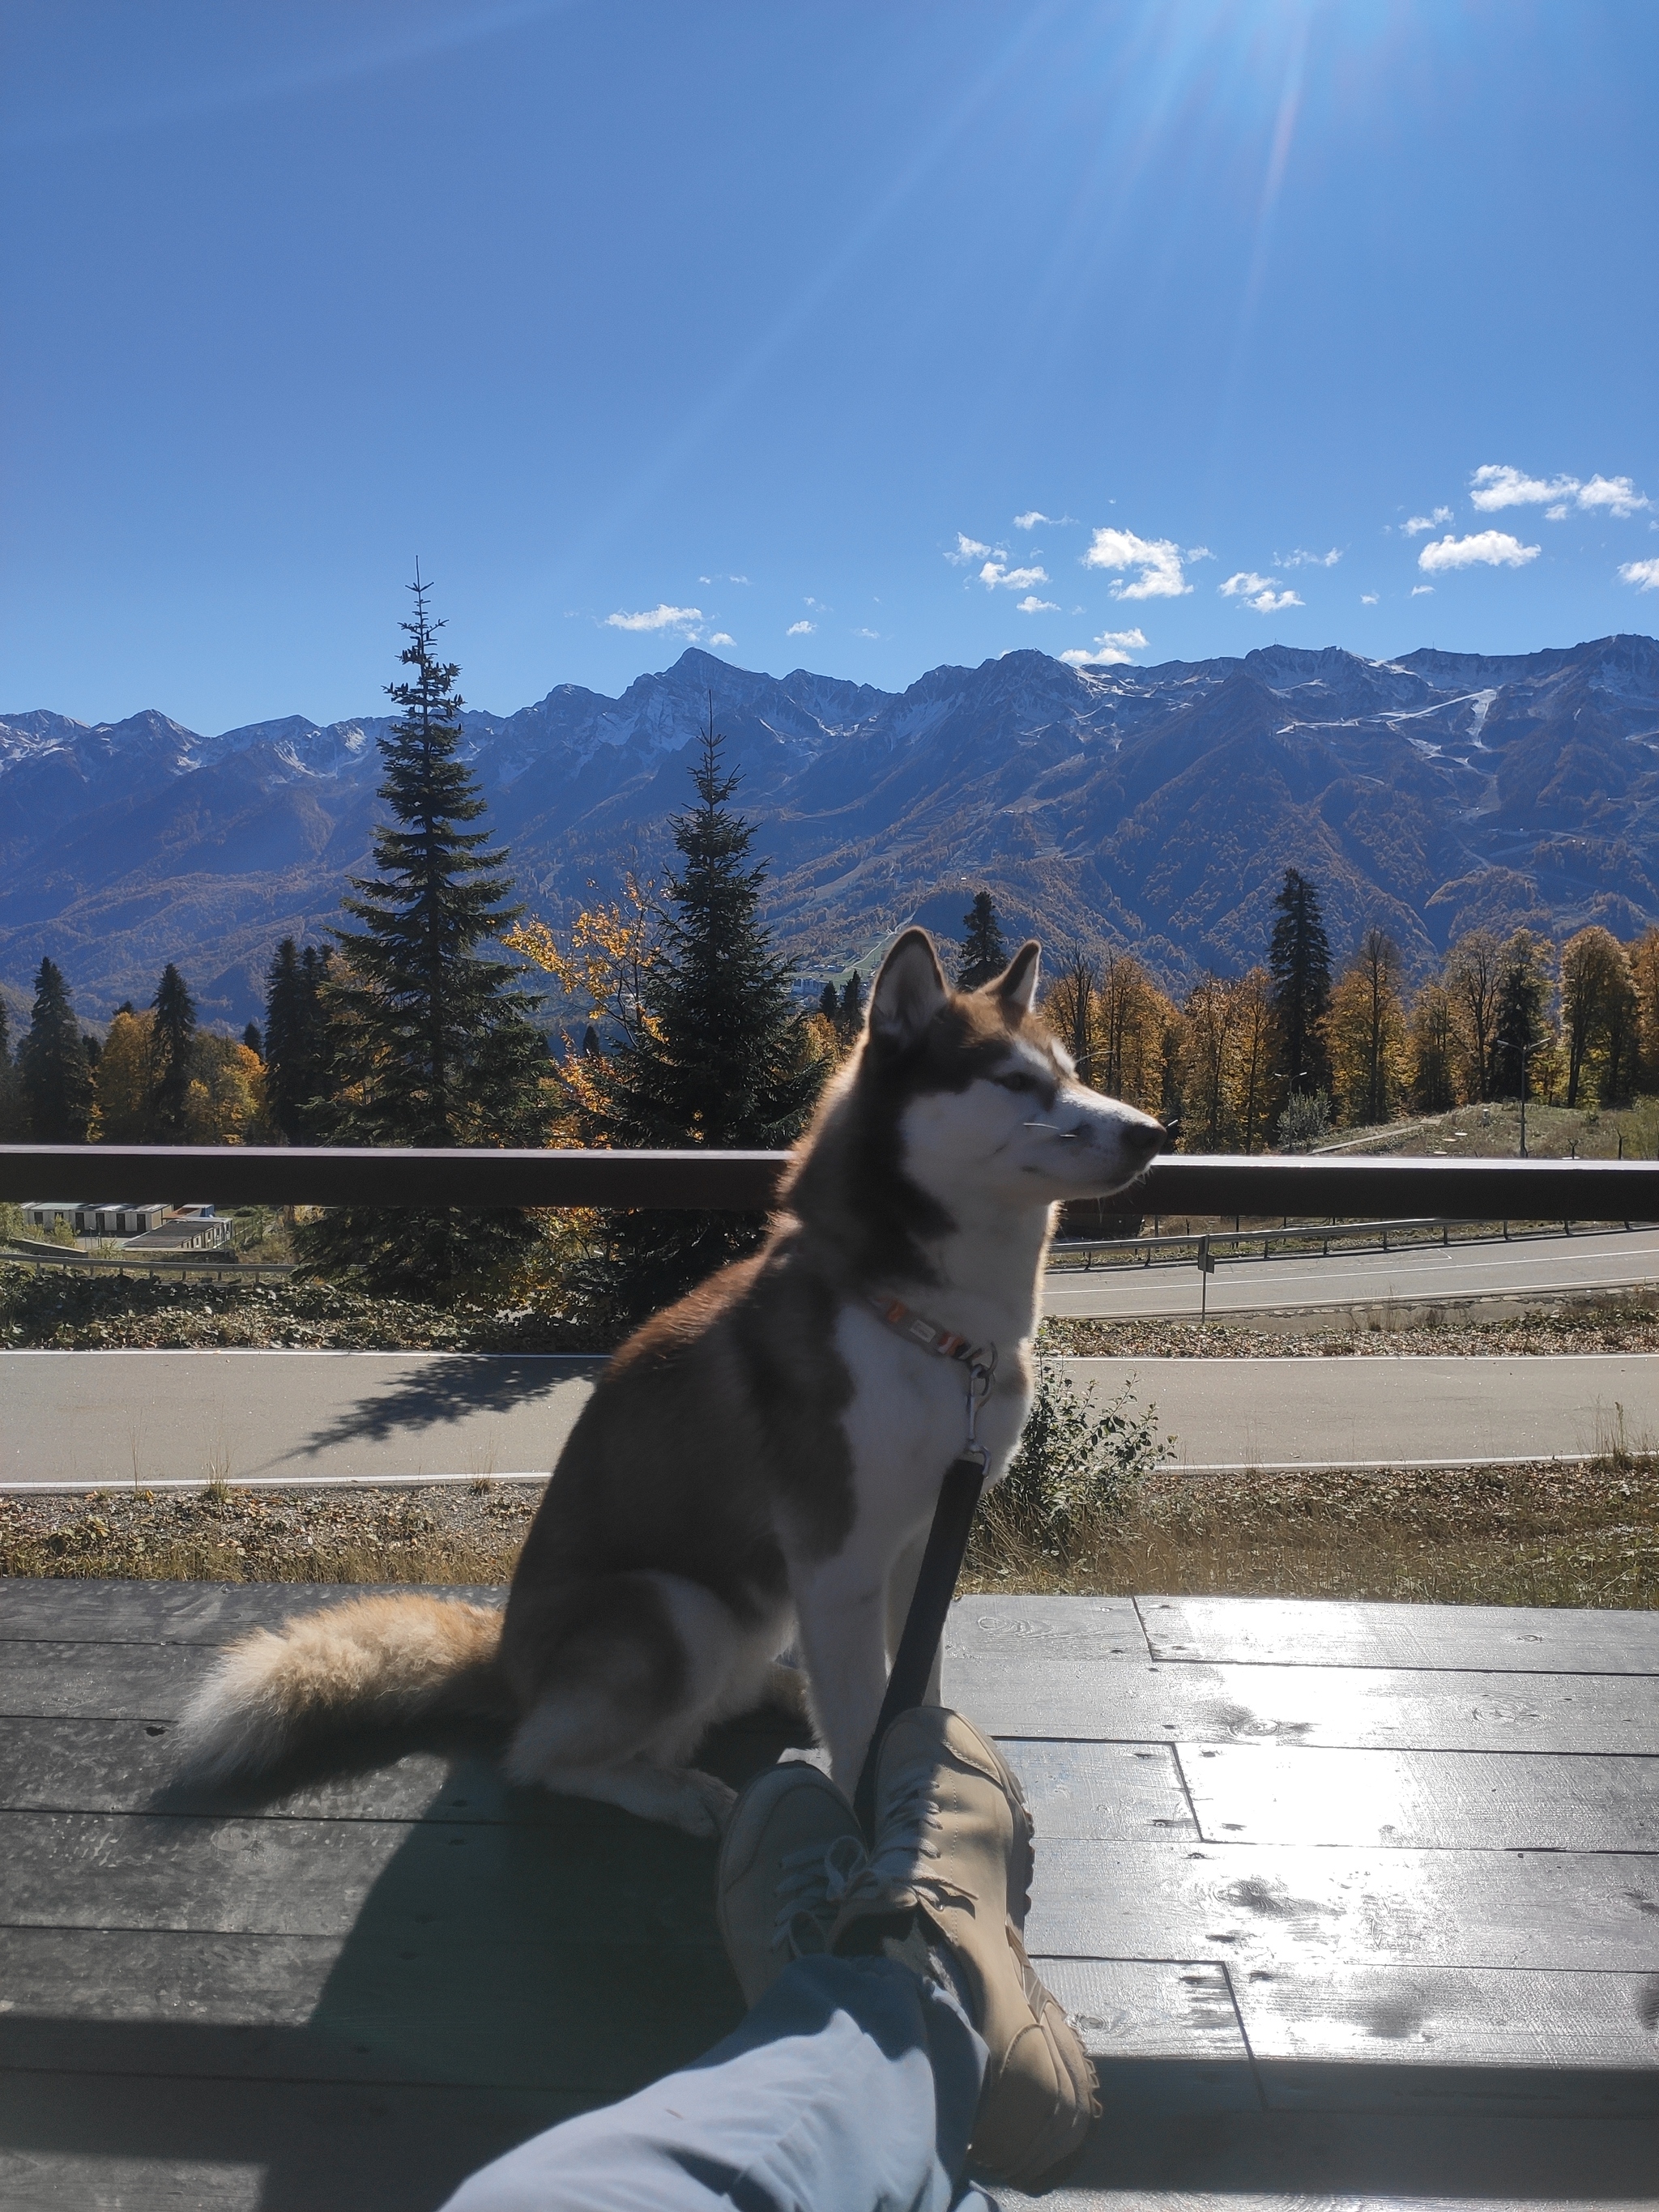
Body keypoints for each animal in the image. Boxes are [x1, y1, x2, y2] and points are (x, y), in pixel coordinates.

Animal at [176, 929, 1158, 1831]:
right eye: (1014, 1082)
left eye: (1070, 1073)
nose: (1155, 1133)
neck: (925, 1324)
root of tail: (506, 1661)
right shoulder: (838, 1560)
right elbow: (860, 1718)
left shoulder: (921, 1545)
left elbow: (910, 1687)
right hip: (679, 1606)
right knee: (541, 1754)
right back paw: (680, 1791)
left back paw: (775, 1693)